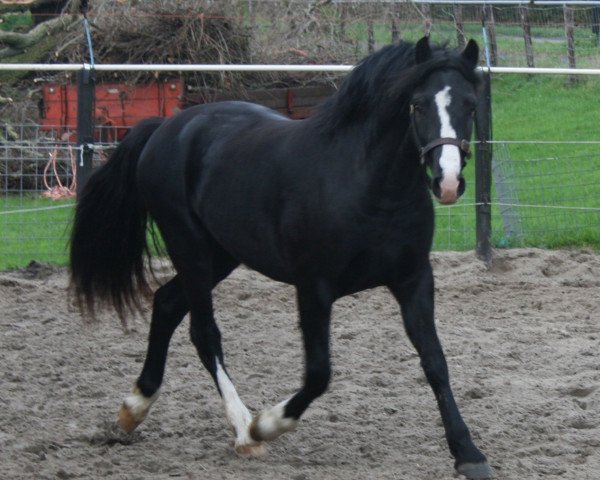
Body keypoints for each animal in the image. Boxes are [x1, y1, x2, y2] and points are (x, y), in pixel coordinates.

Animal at [70, 38, 492, 480]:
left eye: (470, 105)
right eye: (418, 104)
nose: (447, 183)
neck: (366, 185)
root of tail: (165, 127)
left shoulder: (413, 280)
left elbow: (435, 362)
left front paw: (468, 453)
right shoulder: (314, 287)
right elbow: (319, 372)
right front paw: (267, 424)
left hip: (221, 254)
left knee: (166, 304)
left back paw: (133, 409)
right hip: (190, 249)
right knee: (204, 333)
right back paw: (243, 430)